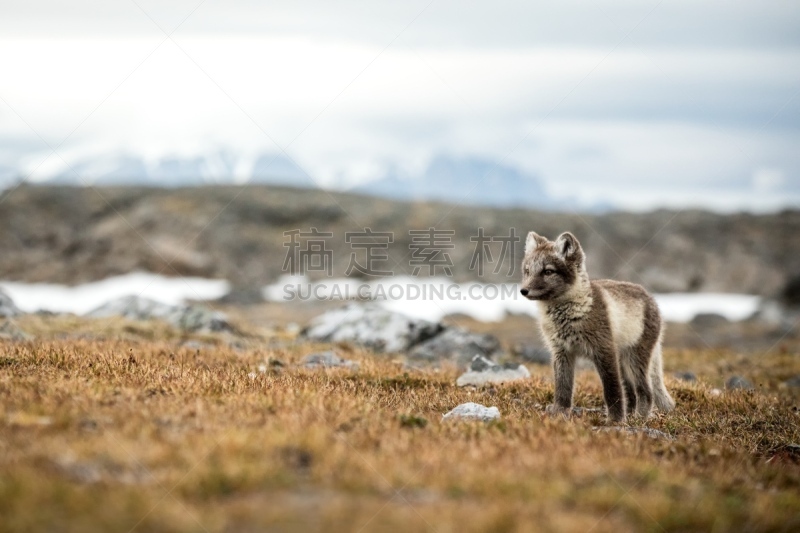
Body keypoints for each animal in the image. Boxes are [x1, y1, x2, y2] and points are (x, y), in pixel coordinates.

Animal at [520, 231, 672, 422]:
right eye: (527, 271)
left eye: (548, 271)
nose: (523, 290)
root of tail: (651, 298)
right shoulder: (561, 352)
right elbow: (563, 388)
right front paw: (560, 413)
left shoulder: (604, 350)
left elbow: (612, 390)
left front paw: (615, 421)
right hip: (623, 362)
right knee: (631, 392)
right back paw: (630, 415)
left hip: (634, 359)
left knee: (645, 391)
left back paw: (639, 418)